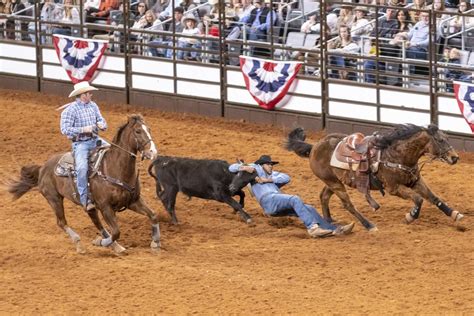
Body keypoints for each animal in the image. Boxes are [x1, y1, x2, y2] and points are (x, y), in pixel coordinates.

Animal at [7, 115, 160, 253]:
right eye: (138, 131)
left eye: (149, 129)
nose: (153, 152)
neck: (113, 169)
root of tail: (42, 168)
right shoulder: (105, 207)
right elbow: (116, 231)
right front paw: (99, 242)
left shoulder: (133, 201)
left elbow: (153, 215)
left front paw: (155, 243)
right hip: (54, 198)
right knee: (62, 222)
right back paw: (80, 244)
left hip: (88, 206)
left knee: (97, 224)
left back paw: (114, 246)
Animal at [286, 124, 462, 231]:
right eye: (440, 140)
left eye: (447, 138)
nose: (455, 158)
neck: (396, 155)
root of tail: (314, 147)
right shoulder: (394, 188)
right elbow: (418, 199)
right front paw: (410, 216)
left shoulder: (415, 181)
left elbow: (434, 197)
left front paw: (454, 213)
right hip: (334, 183)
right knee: (348, 205)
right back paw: (369, 225)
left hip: (333, 181)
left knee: (323, 196)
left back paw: (329, 220)